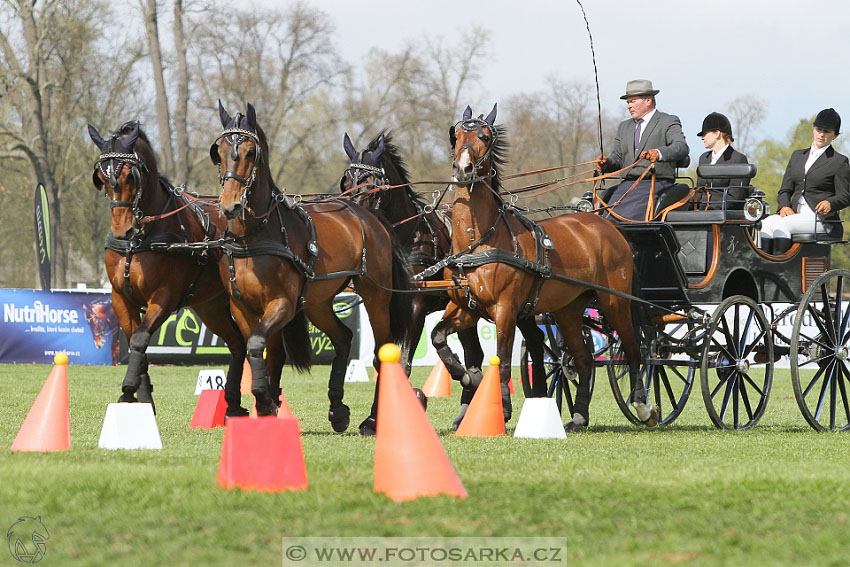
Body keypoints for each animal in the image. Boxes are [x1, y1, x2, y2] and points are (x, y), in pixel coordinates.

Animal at [88, 122, 258, 420]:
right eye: (101, 177)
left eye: (131, 176)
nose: (122, 229)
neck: (140, 239)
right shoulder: (121, 298)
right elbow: (137, 343)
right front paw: (142, 399)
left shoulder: (164, 296)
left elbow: (140, 339)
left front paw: (128, 390)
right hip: (211, 306)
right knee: (236, 343)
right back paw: (234, 404)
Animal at [212, 102, 410, 434]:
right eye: (221, 151)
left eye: (251, 152)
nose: (230, 205)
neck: (253, 235)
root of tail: (370, 217)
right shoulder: (241, 307)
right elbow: (264, 352)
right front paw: (267, 405)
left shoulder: (283, 303)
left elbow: (257, 345)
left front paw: (264, 400)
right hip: (318, 302)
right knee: (343, 337)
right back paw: (338, 409)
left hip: (376, 297)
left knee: (382, 353)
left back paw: (373, 419)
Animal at [340, 131, 548, 428]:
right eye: (345, 182)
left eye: (372, 186)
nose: (354, 221)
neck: (406, 239)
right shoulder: (381, 306)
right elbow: (383, 359)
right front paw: (373, 418)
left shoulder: (414, 307)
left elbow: (403, 362)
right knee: (475, 353)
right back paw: (466, 409)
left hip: (520, 307)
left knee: (534, 341)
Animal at [430, 105, 648, 430]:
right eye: (455, 135)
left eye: (485, 137)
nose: (463, 169)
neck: (479, 241)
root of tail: (606, 225)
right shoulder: (466, 308)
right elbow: (438, 337)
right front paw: (467, 376)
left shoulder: (506, 310)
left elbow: (501, 361)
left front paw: (502, 409)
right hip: (569, 309)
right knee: (583, 359)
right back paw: (579, 417)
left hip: (615, 302)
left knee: (633, 350)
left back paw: (643, 406)